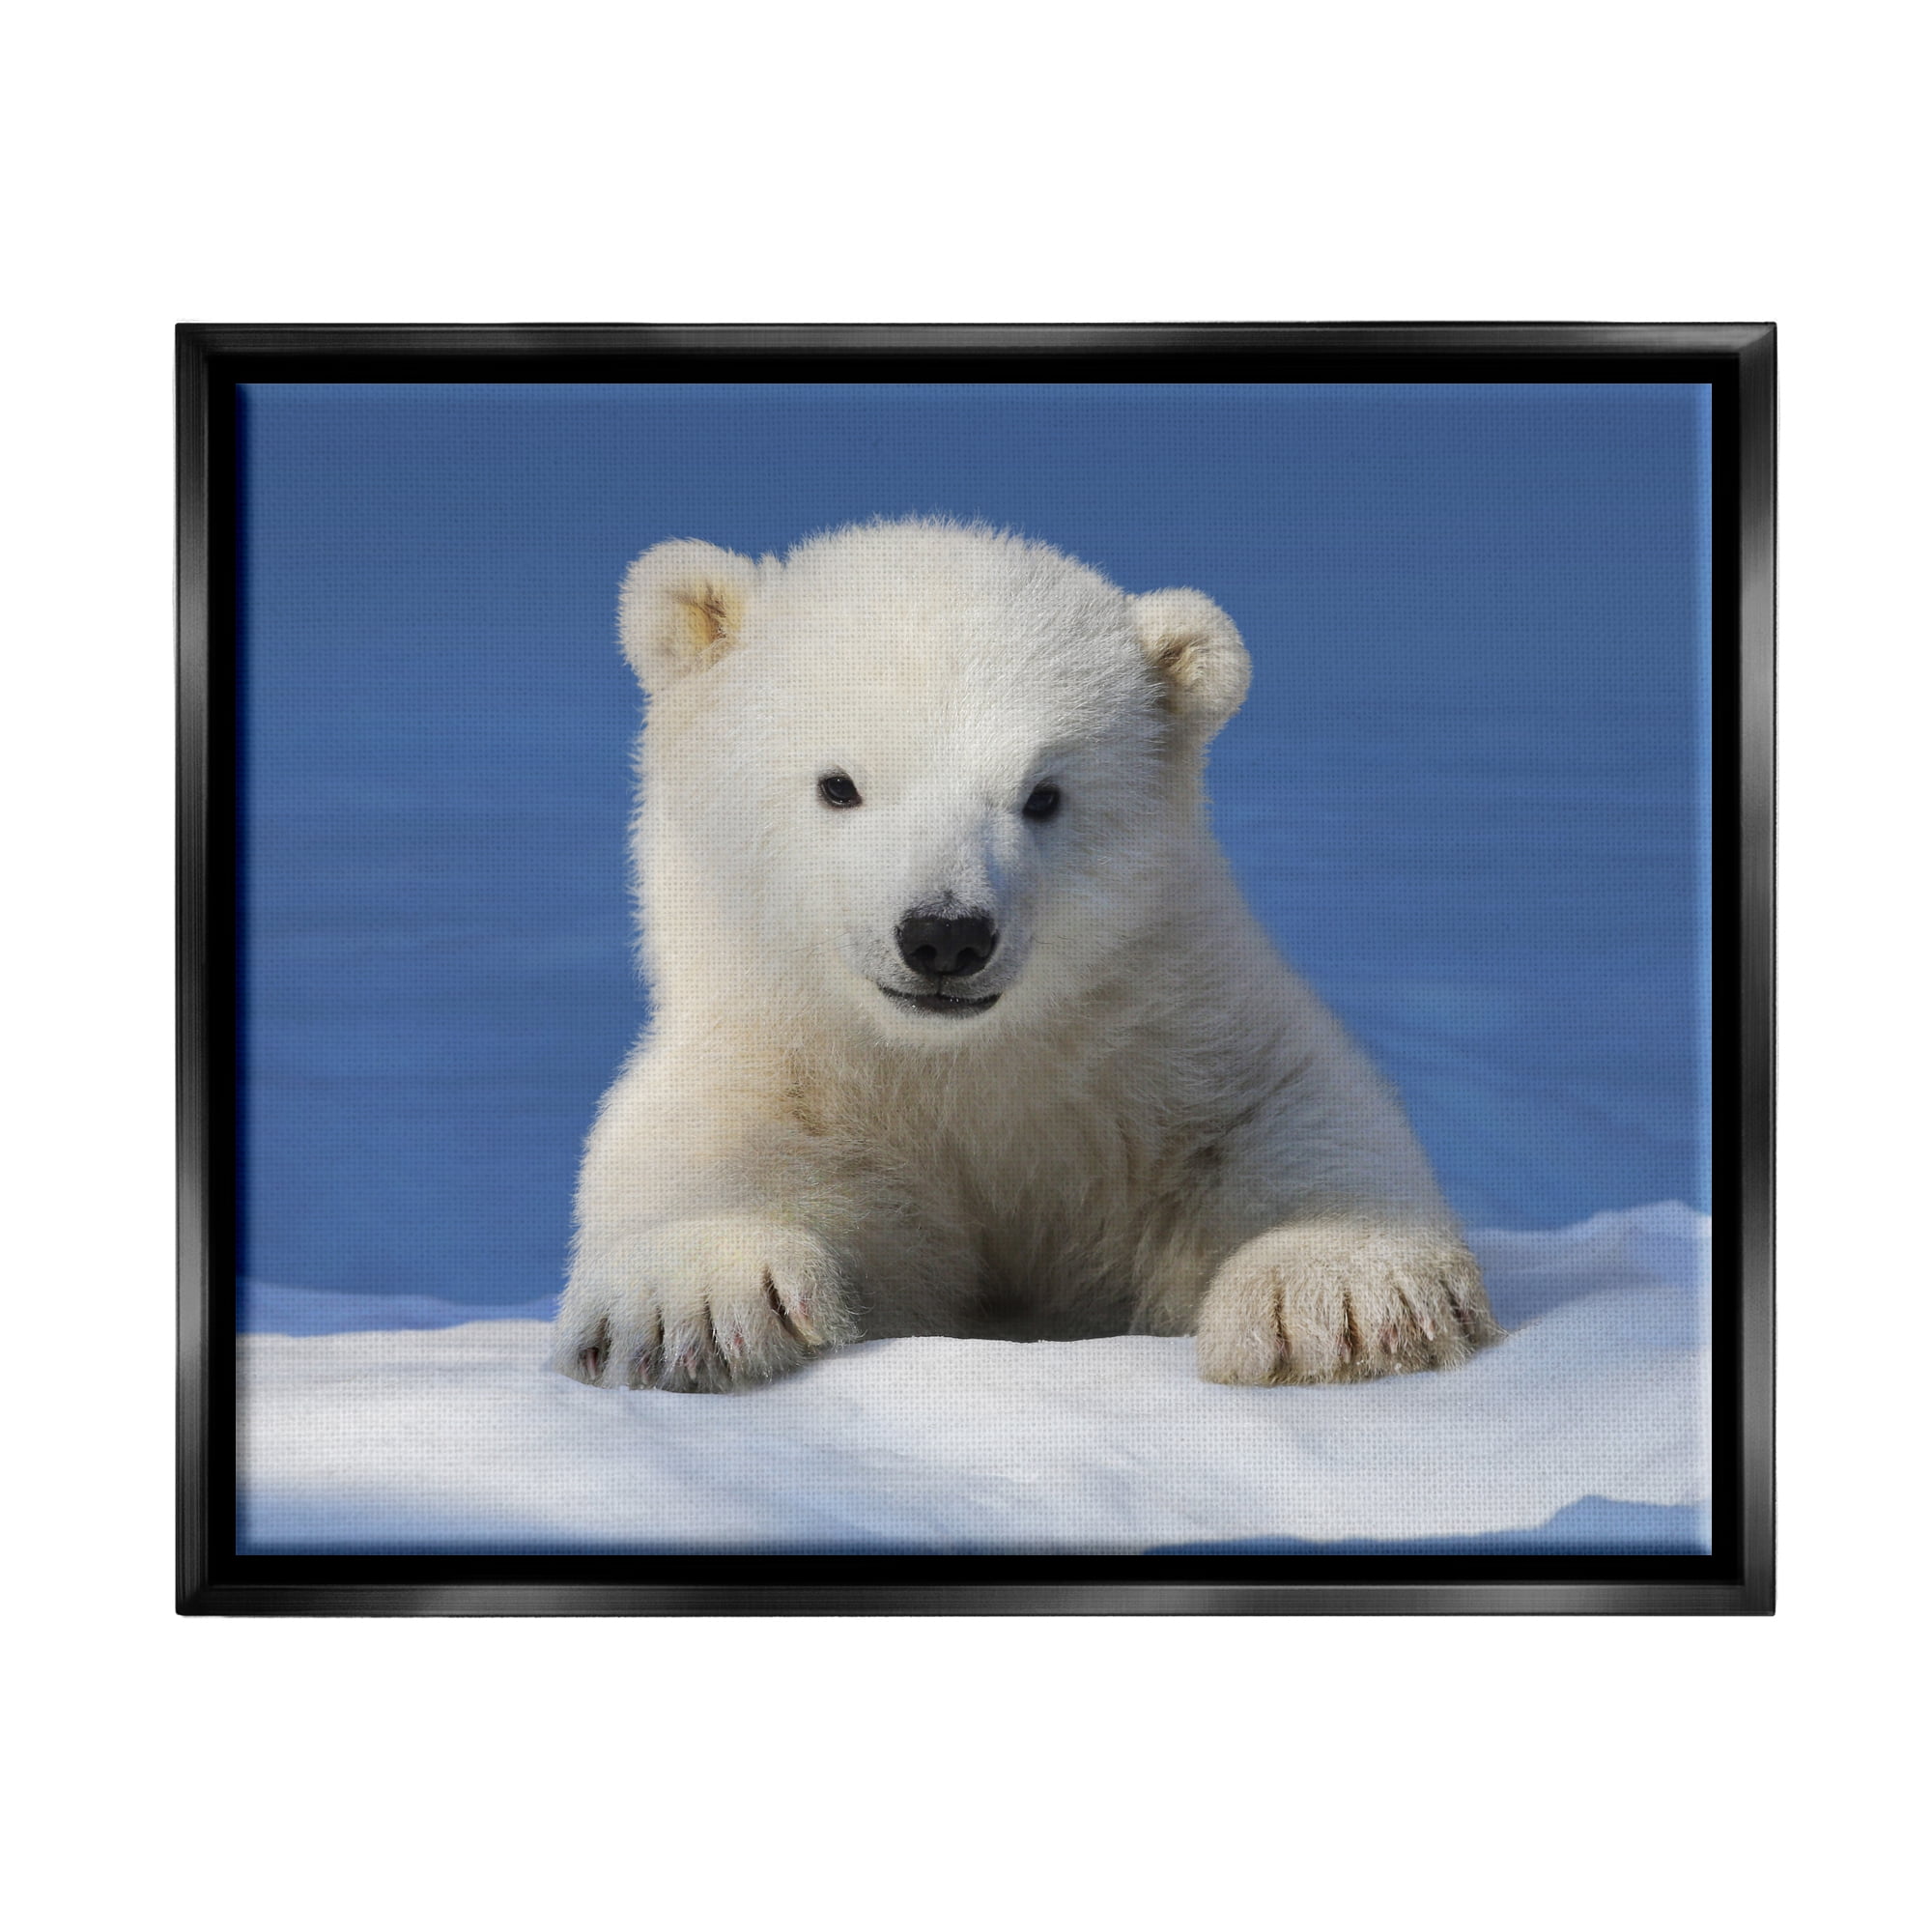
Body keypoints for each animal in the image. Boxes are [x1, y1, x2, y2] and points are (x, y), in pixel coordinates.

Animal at [552, 520, 1500, 1393]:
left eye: (1042, 795)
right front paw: (696, 1307)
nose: (946, 934)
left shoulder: (1166, 1035)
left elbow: (1286, 1109)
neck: (963, 1066)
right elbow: (700, 1149)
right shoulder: (784, 1061)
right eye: (838, 785)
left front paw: (1339, 1297)